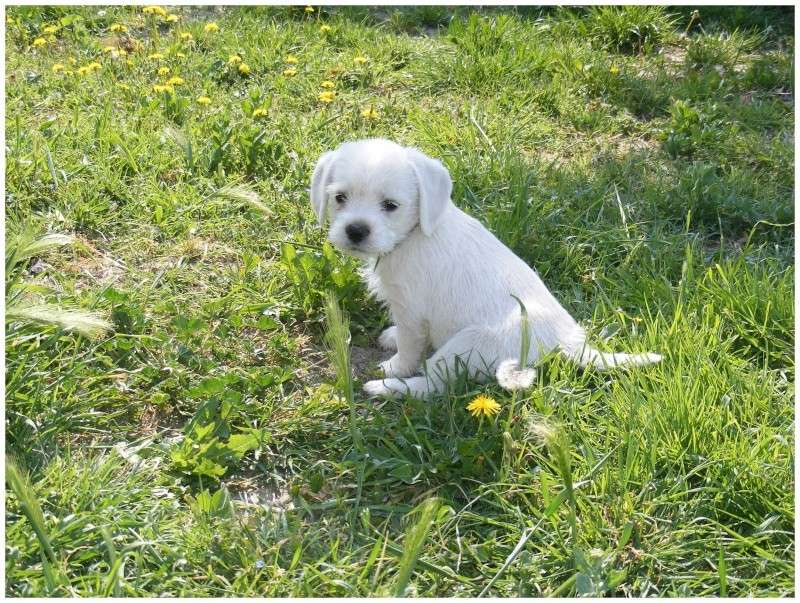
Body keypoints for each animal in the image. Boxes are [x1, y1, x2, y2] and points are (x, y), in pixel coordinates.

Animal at [310, 139, 660, 398]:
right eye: (339, 198)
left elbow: (410, 348)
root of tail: (567, 343)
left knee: (432, 386)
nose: (356, 230)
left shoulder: (412, 311)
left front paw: (394, 366)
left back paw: (387, 388)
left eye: (390, 206)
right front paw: (392, 336)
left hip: (464, 346)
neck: (414, 235)